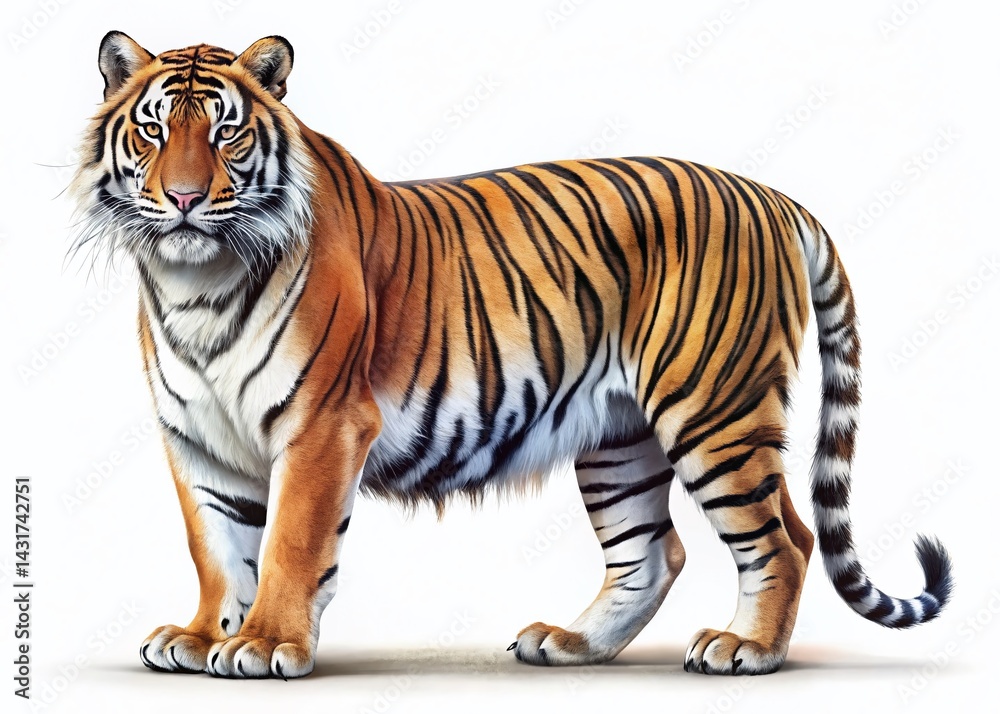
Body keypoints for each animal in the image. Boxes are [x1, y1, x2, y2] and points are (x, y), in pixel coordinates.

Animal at [69, 32, 953, 679]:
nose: (184, 198)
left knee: (785, 540)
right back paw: (572, 644)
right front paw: (198, 637)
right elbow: (217, 548)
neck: (196, 284)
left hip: (714, 410)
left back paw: (748, 650)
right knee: (651, 550)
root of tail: (771, 194)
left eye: (226, 130)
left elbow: (289, 540)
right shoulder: (198, 439)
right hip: (618, 436)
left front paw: (262, 643)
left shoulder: (322, 425)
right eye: (153, 129)